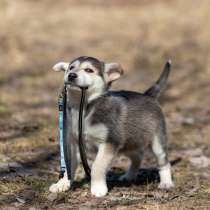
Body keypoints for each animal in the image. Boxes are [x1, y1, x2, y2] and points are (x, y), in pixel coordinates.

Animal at [49, 56, 174, 197]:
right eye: (71, 68)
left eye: (89, 70)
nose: (71, 75)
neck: (84, 107)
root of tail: (148, 95)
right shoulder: (71, 142)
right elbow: (67, 166)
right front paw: (62, 184)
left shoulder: (109, 142)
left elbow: (97, 166)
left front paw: (98, 188)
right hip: (128, 143)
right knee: (137, 156)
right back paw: (129, 176)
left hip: (157, 141)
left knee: (164, 162)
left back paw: (166, 183)